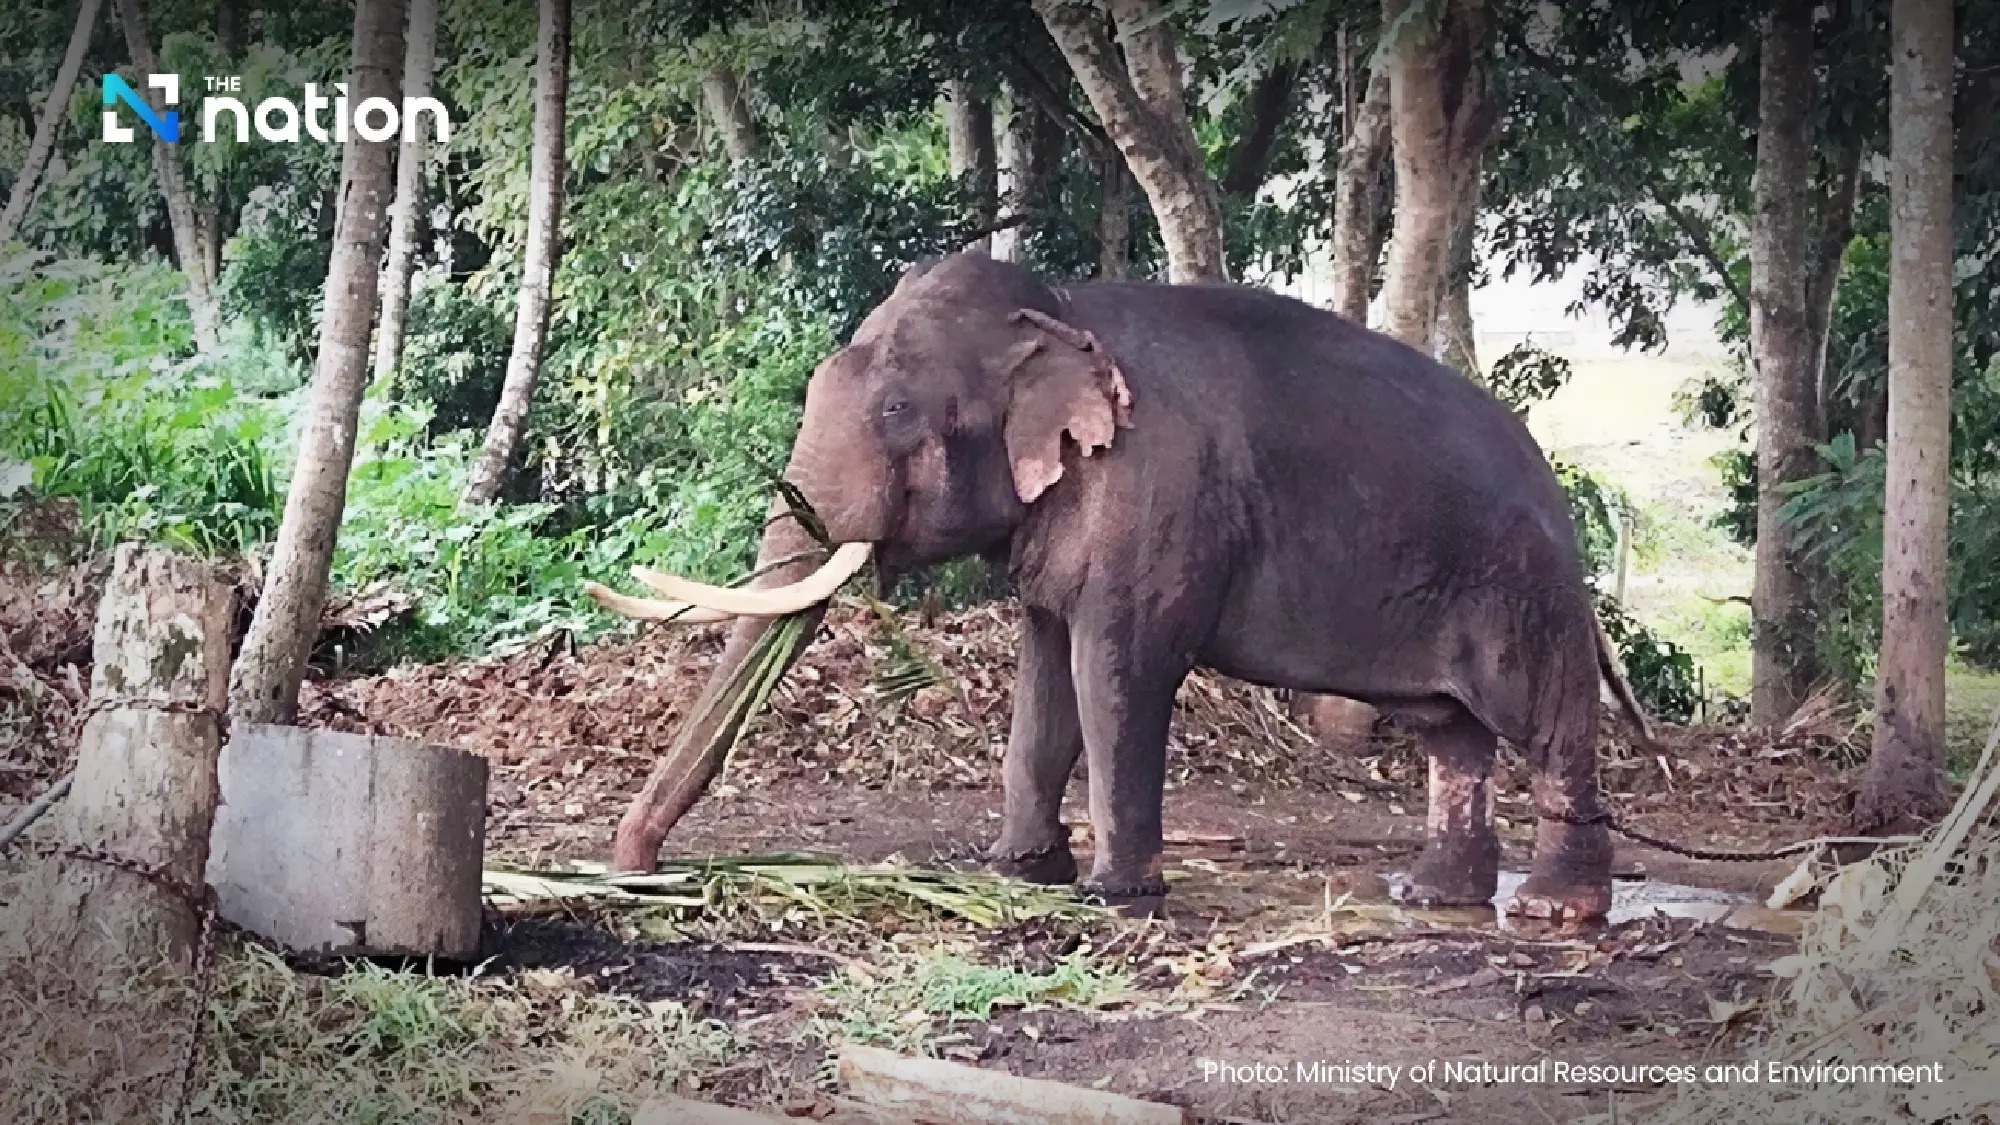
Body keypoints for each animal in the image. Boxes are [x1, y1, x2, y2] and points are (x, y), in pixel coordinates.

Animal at [588, 250, 1651, 922]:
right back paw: (1432, 896)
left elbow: (1118, 673)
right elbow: (1043, 678)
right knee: (1451, 733)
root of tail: (1554, 481)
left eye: (895, 410)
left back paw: (1554, 911)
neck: (1059, 310)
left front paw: (1113, 894)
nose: (640, 869)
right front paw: (1019, 871)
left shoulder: (1151, 496)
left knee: (1538, 723)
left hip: (1521, 590)